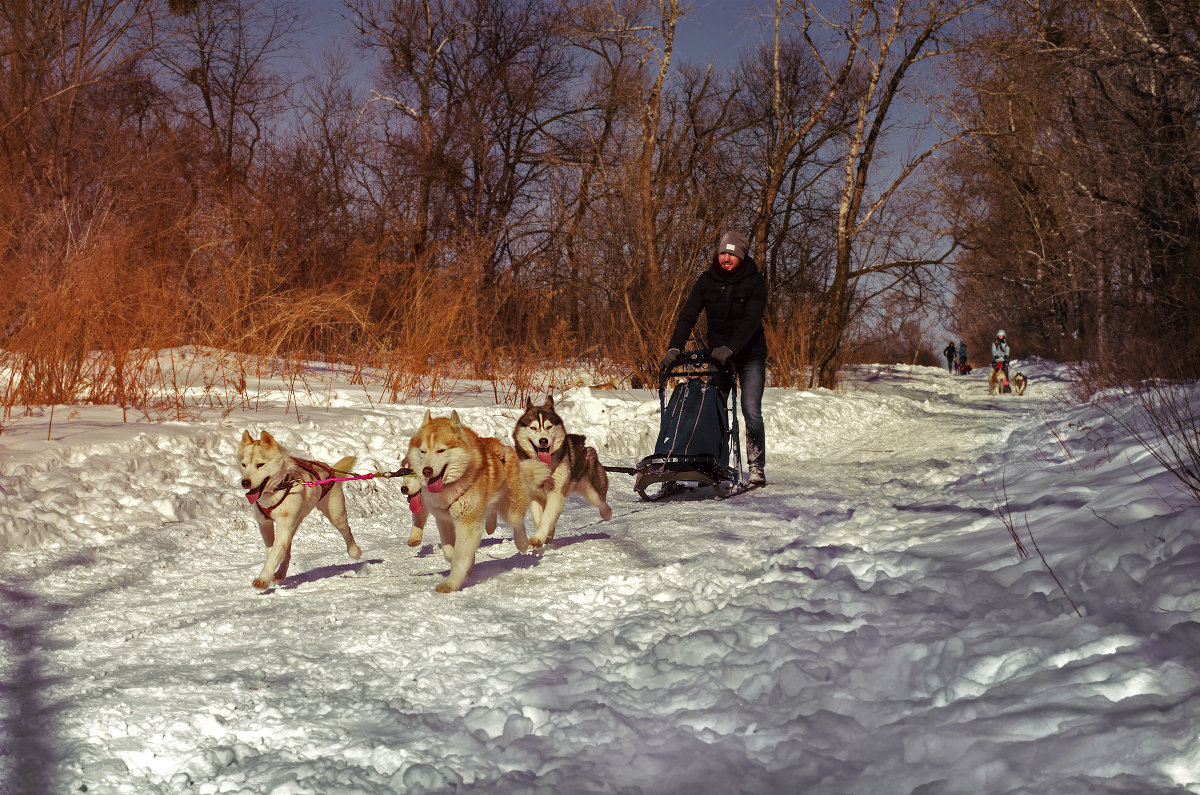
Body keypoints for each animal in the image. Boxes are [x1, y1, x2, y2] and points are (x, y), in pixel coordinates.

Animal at [236, 429, 360, 590]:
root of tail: (330, 470)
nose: (245, 482)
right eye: (243, 464)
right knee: (287, 551)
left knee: (347, 531)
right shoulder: (265, 524)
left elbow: (275, 551)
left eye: (260, 464)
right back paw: (281, 573)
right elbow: (272, 550)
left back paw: (355, 551)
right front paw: (271, 572)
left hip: (336, 515)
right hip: (294, 523)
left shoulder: (284, 525)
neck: (278, 488)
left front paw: (263, 579)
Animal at [405, 410, 549, 590]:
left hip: (510, 508)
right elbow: (449, 551)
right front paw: (468, 563)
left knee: (517, 521)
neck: (451, 486)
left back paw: (522, 543)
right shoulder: (444, 520)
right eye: (423, 451)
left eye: (441, 450)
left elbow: (459, 557)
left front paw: (451, 584)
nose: (427, 471)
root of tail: (506, 447)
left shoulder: (468, 523)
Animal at [511, 396, 614, 552]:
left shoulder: (557, 493)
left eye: (548, 427)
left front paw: (538, 538)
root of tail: (585, 446)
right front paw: (546, 535)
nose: (543, 440)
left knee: (602, 503)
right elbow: (539, 518)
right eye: (533, 428)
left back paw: (607, 513)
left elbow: (546, 518)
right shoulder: (535, 495)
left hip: (592, 491)